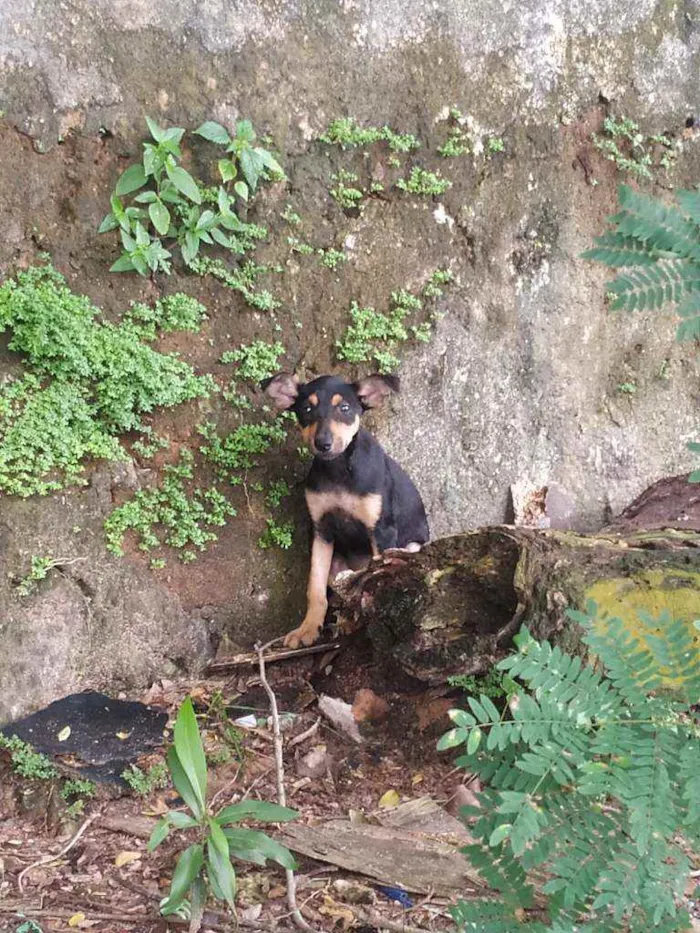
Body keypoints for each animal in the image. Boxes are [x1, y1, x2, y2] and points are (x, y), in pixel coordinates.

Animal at [262, 372, 430, 648]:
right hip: (338, 568)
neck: (339, 470)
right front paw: (307, 628)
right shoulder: (321, 531)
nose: (323, 443)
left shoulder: (381, 531)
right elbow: (315, 587)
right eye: (307, 409)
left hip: (411, 548)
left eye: (344, 408)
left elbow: (378, 578)